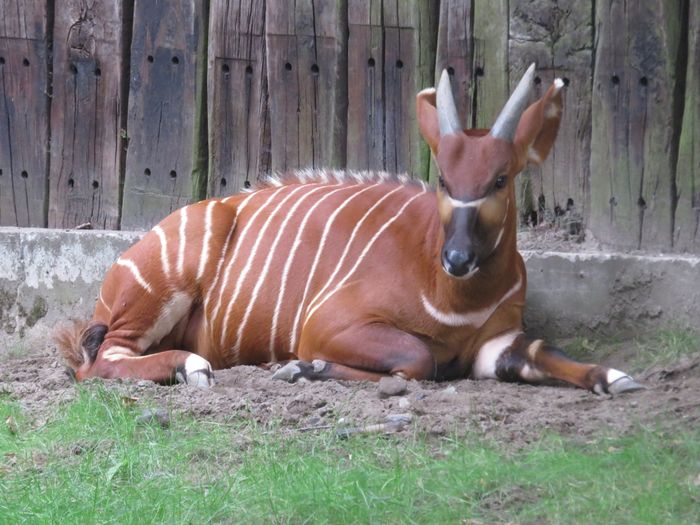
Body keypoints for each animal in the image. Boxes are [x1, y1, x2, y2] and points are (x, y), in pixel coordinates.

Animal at [57, 64, 644, 392]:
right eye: (444, 178)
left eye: (500, 179)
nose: (457, 258)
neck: (454, 295)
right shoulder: (328, 324)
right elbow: (419, 359)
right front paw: (304, 370)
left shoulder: (495, 344)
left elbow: (541, 353)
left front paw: (613, 377)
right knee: (102, 362)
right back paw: (192, 368)